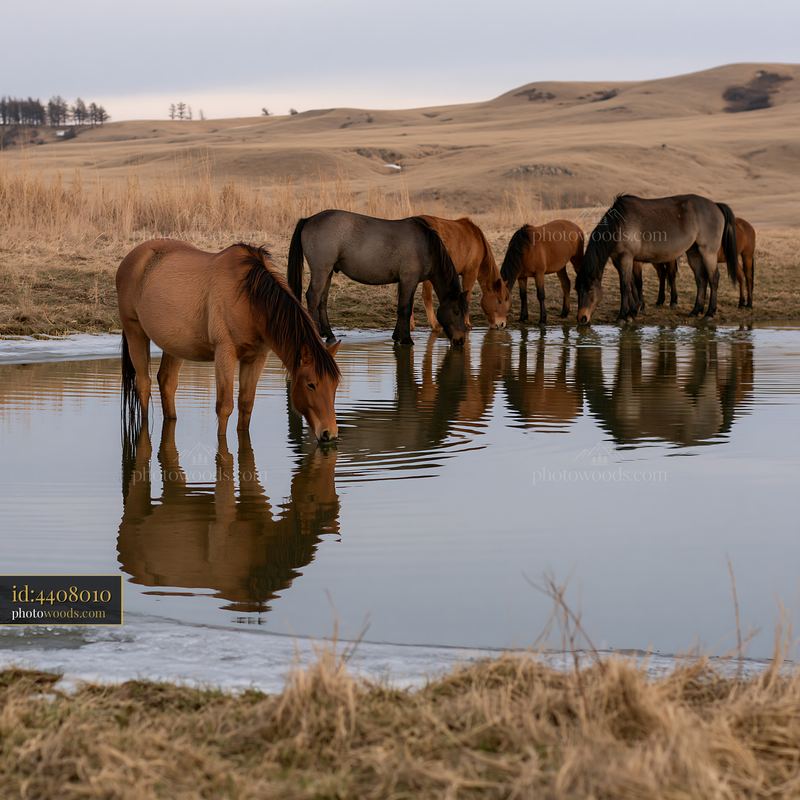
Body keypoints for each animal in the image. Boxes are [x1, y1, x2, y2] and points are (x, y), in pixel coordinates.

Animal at [116, 240, 341, 440]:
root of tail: (132, 257)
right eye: (311, 384)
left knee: (167, 382)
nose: (329, 433)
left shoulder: (256, 357)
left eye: (335, 385)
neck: (249, 299)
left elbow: (246, 404)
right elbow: (224, 407)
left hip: (174, 345)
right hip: (135, 332)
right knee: (143, 384)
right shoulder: (225, 353)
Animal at [287, 210, 468, 346]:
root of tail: (309, 219)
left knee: (322, 301)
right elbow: (405, 308)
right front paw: (407, 340)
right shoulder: (409, 280)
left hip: (328, 272)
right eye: (457, 311)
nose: (460, 340)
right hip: (321, 270)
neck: (425, 245)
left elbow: (401, 307)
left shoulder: (402, 281)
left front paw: (397, 336)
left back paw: (330, 335)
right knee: (312, 297)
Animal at [576, 194, 738, 324]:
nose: (582, 318)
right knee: (701, 280)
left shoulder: (626, 258)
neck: (619, 224)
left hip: (708, 253)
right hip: (694, 253)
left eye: (590, 289)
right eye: (577, 289)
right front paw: (633, 312)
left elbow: (625, 286)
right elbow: (632, 284)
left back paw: (709, 313)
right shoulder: (621, 260)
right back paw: (695, 311)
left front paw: (623, 316)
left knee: (713, 278)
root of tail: (715, 205)